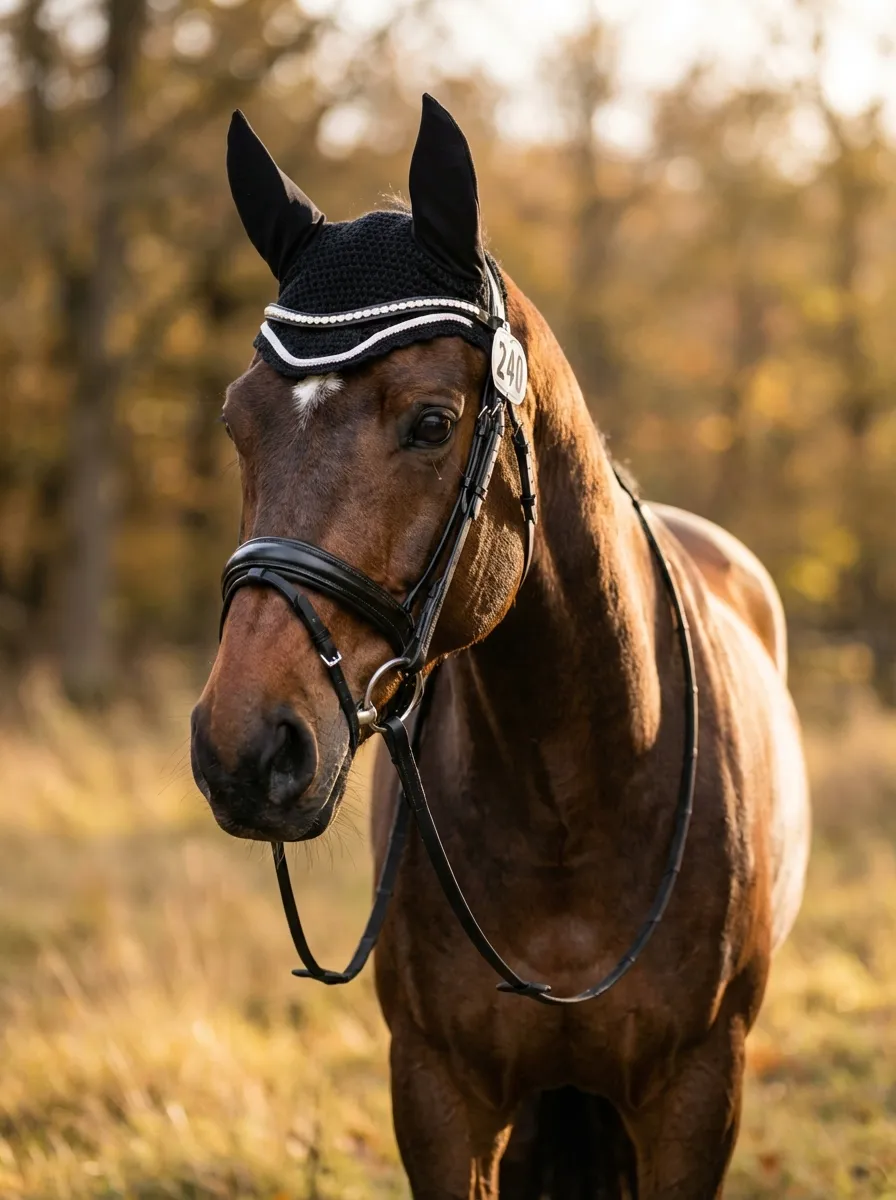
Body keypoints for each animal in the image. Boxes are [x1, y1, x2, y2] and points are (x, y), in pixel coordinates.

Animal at [191, 95, 810, 1198]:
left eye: (431, 423)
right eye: (237, 424)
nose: (244, 749)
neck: (572, 790)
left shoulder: (700, 1095)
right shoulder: (437, 1094)